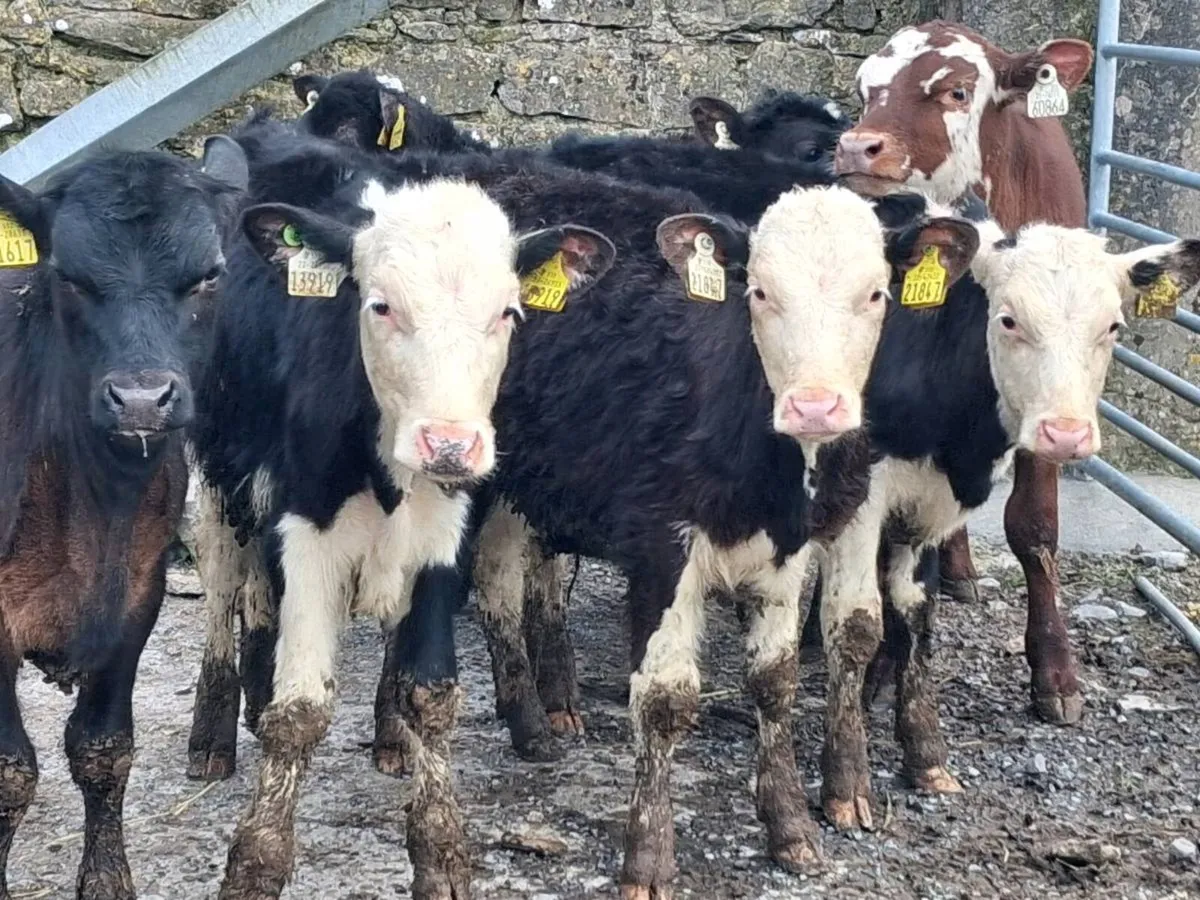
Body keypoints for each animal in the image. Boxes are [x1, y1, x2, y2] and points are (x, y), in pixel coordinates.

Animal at [0, 139, 248, 899]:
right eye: (68, 277)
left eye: (210, 275)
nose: (141, 400)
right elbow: (11, 770)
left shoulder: (139, 597)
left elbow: (103, 749)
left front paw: (108, 880)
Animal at [186, 126, 615, 900]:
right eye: (380, 305)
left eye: (508, 312)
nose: (448, 443)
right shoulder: (307, 531)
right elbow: (299, 711)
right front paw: (256, 863)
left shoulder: (446, 537)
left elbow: (432, 694)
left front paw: (441, 854)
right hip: (220, 469)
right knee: (226, 580)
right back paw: (214, 731)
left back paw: (381, 734)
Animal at [815, 202, 1200, 831]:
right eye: (1009, 321)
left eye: (1113, 327)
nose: (1065, 434)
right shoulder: (858, 488)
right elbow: (855, 623)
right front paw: (845, 782)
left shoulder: (929, 503)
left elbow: (918, 612)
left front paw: (925, 753)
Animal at [828, 20, 1096, 725]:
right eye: (865, 90)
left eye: (954, 90)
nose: (857, 147)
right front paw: (886, 665)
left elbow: (1033, 525)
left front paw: (1054, 669)